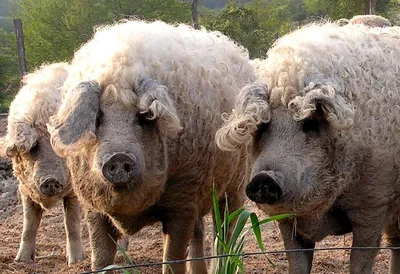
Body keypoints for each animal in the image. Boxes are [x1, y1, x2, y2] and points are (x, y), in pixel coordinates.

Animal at [0, 63, 84, 264]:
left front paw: (76, 262)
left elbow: (72, 224)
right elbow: (29, 225)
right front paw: (21, 261)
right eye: (34, 146)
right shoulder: (24, 188)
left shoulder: (72, 191)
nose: (50, 179)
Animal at [48, 19, 255, 274]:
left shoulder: (183, 199)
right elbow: (101, 259)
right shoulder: (92, 205)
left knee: (226, 231)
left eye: (144, 116)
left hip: (235, 184)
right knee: (199, 232)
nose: (118, 157)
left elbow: (172, 259)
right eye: (97, 117)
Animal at [217, 20, 400, 272]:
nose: (264, 178)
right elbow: (297, 264)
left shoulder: (374, 204)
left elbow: (360, 261)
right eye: (262, 125)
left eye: (310, 123)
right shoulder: (287, 221)